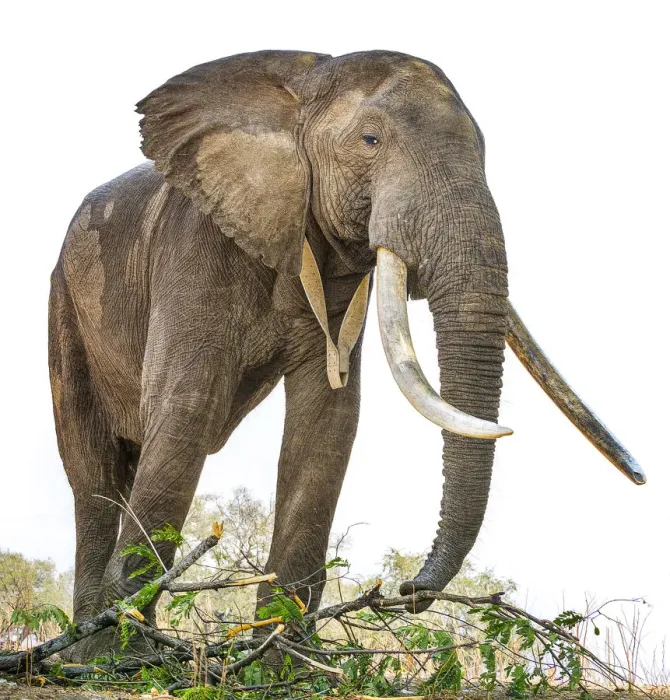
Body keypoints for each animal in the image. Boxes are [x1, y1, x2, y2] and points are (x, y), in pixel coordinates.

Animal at [48, 50, 644, 660]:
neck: (303, 80)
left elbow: (328, 421)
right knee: (95, 478)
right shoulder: (194, 245)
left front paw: (284, 660)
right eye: (369, 140)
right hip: (64, 311)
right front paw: (125, 661)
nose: (408, 590)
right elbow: (187, 410)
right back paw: (82, 650)